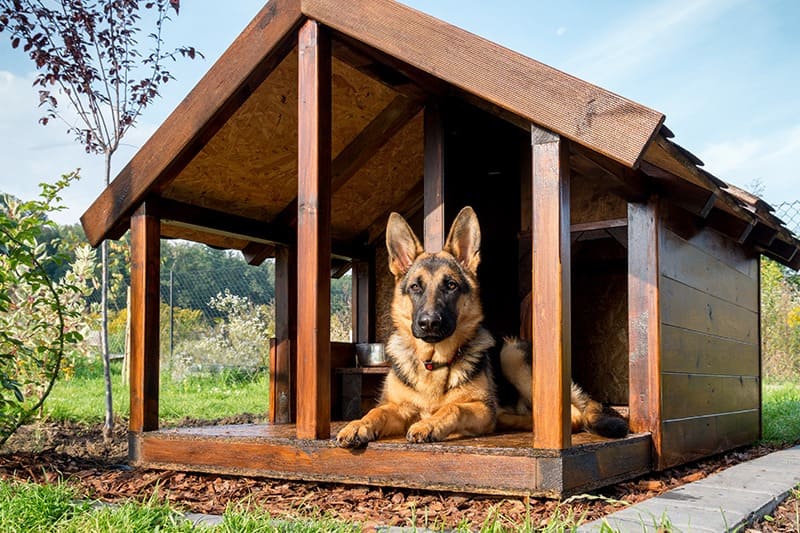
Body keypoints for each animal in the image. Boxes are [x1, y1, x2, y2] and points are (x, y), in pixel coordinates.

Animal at [334, 206, 628, 446]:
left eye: (451, 285)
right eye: (416, 287)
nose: (429, 323)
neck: (433, 363)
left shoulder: (478, 407)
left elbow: (454, 408)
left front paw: (430, 423)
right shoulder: (399, 407)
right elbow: (377, 411)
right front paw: (357, 425)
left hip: (511, 354)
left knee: (573, 415)